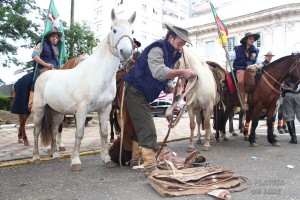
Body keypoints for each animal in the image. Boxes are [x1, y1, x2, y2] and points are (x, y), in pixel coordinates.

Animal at [31, 9, 136, 171]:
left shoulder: (105, 109)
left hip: (58, 112)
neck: (98, 74)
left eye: (132, 31)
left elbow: (104, 133)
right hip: (39, 109)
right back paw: (36, 157)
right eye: (114, 29)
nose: (126, 52)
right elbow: (79, 133)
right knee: (36, 131)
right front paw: (75, 161)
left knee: (54, 129)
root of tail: (44, 75)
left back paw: (55, 154)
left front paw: (107, 159)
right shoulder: (82, 110)